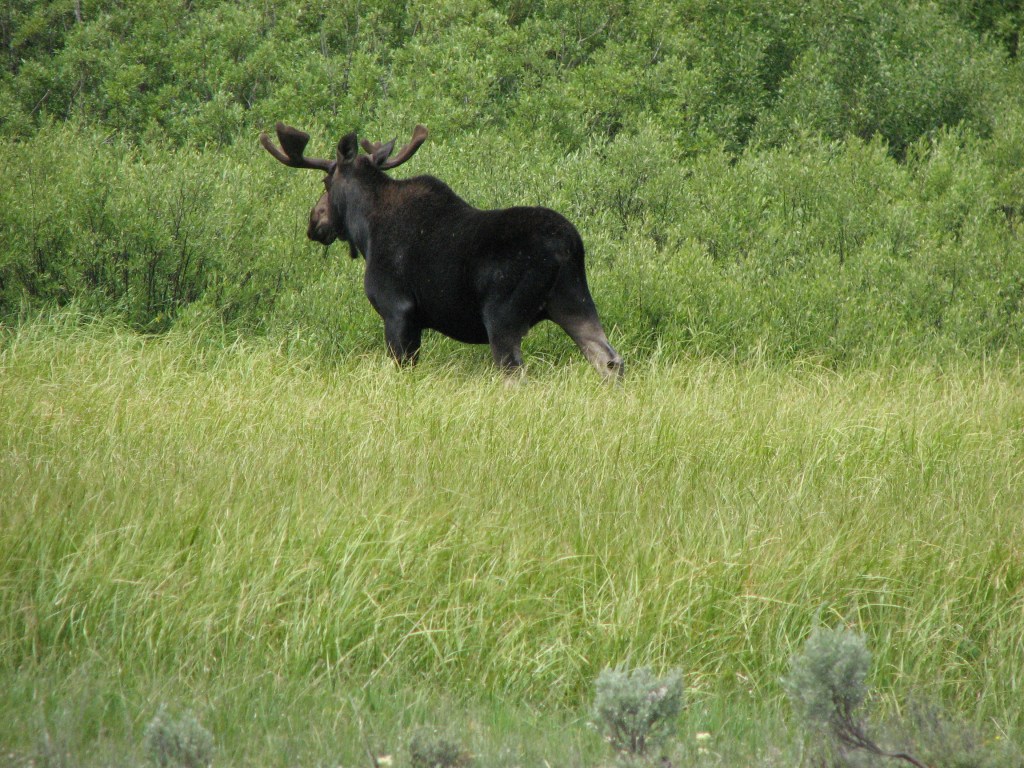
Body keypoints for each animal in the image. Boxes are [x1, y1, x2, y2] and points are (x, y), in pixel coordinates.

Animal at [260, 123, 623, 380]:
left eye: (326, 182)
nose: (314, 222)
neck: (365, 232)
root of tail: (569, 247)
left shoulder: (398, 311)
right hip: (573, 300)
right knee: (609, 359)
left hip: (503, 316)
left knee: (515, 373)